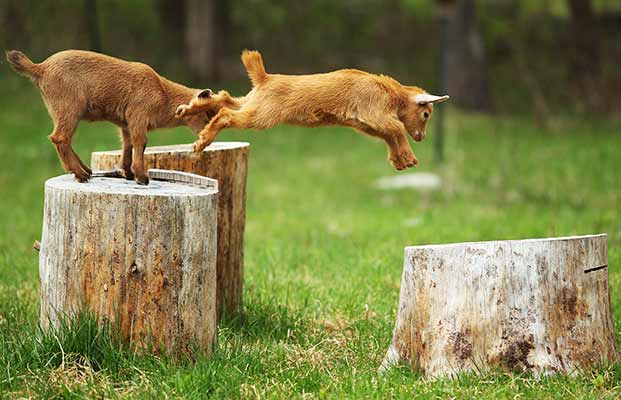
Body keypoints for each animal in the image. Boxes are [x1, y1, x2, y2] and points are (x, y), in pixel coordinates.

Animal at [5, 49, 216, 184]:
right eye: (207, 113)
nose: (209, 137)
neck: (163, 94)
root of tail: (40, 67)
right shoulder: (138, 116)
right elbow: (141, 143)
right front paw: (142, 178)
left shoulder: (125, 123)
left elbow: (127, 145)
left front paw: (128, 173)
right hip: (69, 108)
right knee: (60, 137)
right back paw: (81, 174)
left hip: (58, 110)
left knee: (62, 138)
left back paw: (86, 170)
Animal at [174, 49, 446, 169]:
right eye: (426, 114)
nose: (421, 138)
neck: (391, 92)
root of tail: (264, 78)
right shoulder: (375, 112)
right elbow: (397, 128)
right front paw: (409, 158)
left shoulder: (367, 124)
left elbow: (389, 134)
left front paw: (399, 161)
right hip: (262, 114)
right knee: (226, 114)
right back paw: (202, 141)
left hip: (253, 103)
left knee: (225, 99)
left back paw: (188, 109)